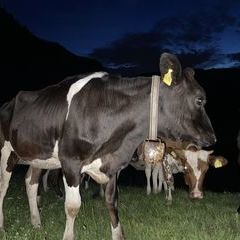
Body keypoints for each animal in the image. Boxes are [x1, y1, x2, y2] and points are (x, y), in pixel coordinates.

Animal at [0, 53, 216, 239]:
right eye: (200, 99)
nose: (212, 137)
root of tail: (8, 103)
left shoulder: (111, 165)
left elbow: (112, 202)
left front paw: (118, 235)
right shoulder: (70, 162)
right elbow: (73, 206)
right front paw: (68, 236)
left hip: (38, 155)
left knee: (30, 182)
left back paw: (36, 222)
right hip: (6, 152)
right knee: (3, 185)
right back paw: (2, 225)